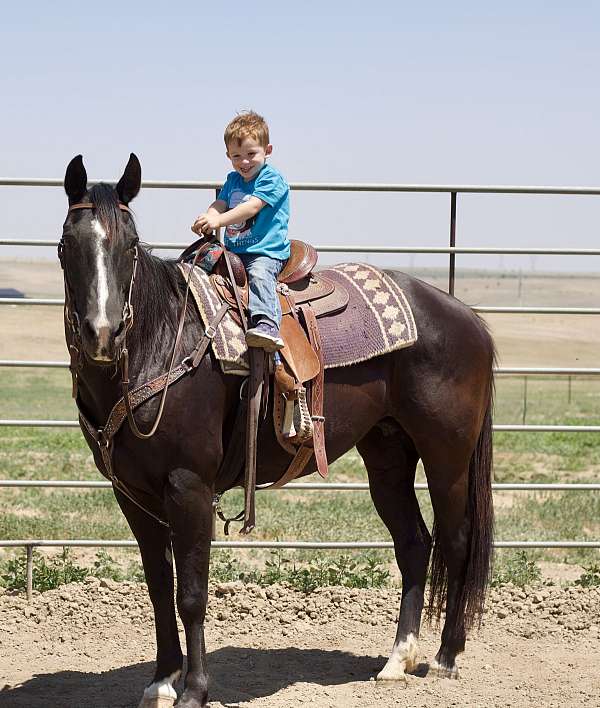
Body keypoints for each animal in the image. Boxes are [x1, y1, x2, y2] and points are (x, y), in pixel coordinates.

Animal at [60, 153, 495, 708]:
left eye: (130, 245)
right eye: (68, 244)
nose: (103, 333)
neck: (159, 343)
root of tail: (468, 319)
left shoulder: (188, 487)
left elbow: (191, 593)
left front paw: (194, 690)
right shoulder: (132, 494)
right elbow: (158, 585)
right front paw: (161, 680)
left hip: (447, 456)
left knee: (456, 540)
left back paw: (444, 658)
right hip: (388, 454)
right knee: (415, 543)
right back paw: (397, 659)